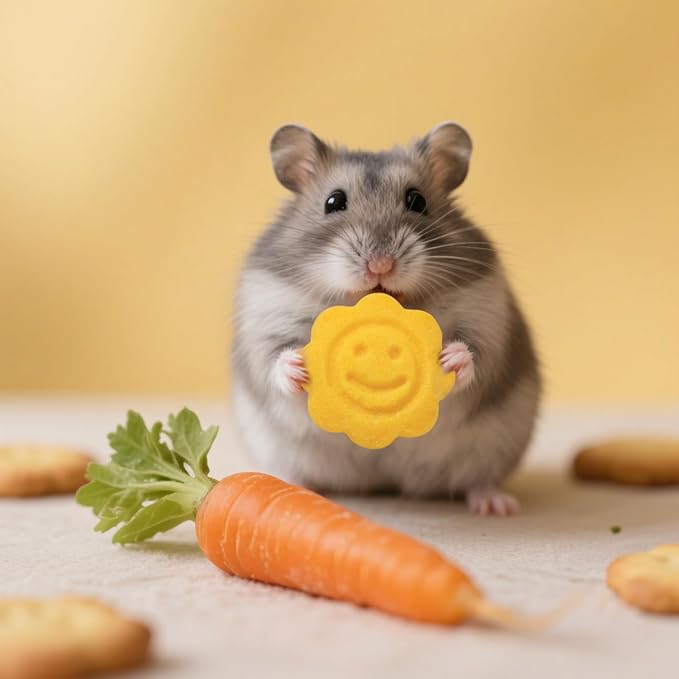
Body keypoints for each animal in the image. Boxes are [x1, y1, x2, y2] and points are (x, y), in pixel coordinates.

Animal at [231, 122, 541, 515]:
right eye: (333, 202)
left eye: (417, 201)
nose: (381, 265)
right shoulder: (268, 314)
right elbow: (274, 359)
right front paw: (298, 368)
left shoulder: (487, 317)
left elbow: (474, 355)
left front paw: (450, 359)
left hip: (493, 448)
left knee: (477, 480)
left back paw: (496, 505)